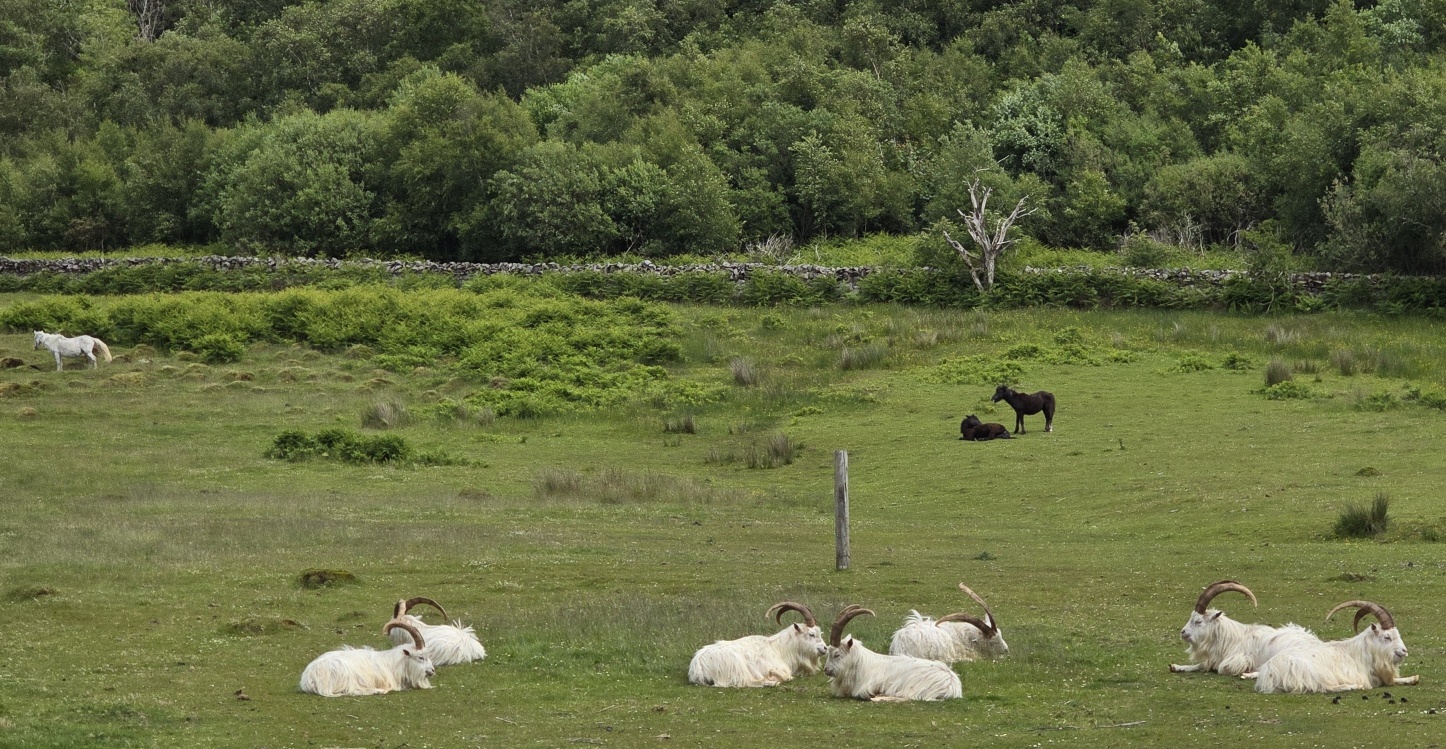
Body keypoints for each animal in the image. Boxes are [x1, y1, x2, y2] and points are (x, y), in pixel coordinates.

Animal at [299, 620, 435, 697]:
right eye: (420, 657)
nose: (432, 671)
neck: (393, 663)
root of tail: (309, 678)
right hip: (345, 674)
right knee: (351, 691)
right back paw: (377, 691)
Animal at [688, 602, 827, 687]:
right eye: (811, 634)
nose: (825, 648)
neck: (779, 649)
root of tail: (698, 668)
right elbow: (787, 676)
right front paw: (774, 675)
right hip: (736, 667)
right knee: (745, 682)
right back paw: (771, 681)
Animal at [1169, 580, 1319, 676]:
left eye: (1198, 621)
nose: (1183, 632)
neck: (1233, 639)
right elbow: (1204, 665)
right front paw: (1176, 667)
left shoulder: (1239, 660)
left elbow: (1221, 668)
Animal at [1245, 600, 1420, 693]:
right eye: (1387, 637)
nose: (1404, 651)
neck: (1361, 652)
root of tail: (1269, 672)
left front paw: (1412, 678)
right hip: (1317, 674)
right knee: (1326, 688)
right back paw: (1356, 686)